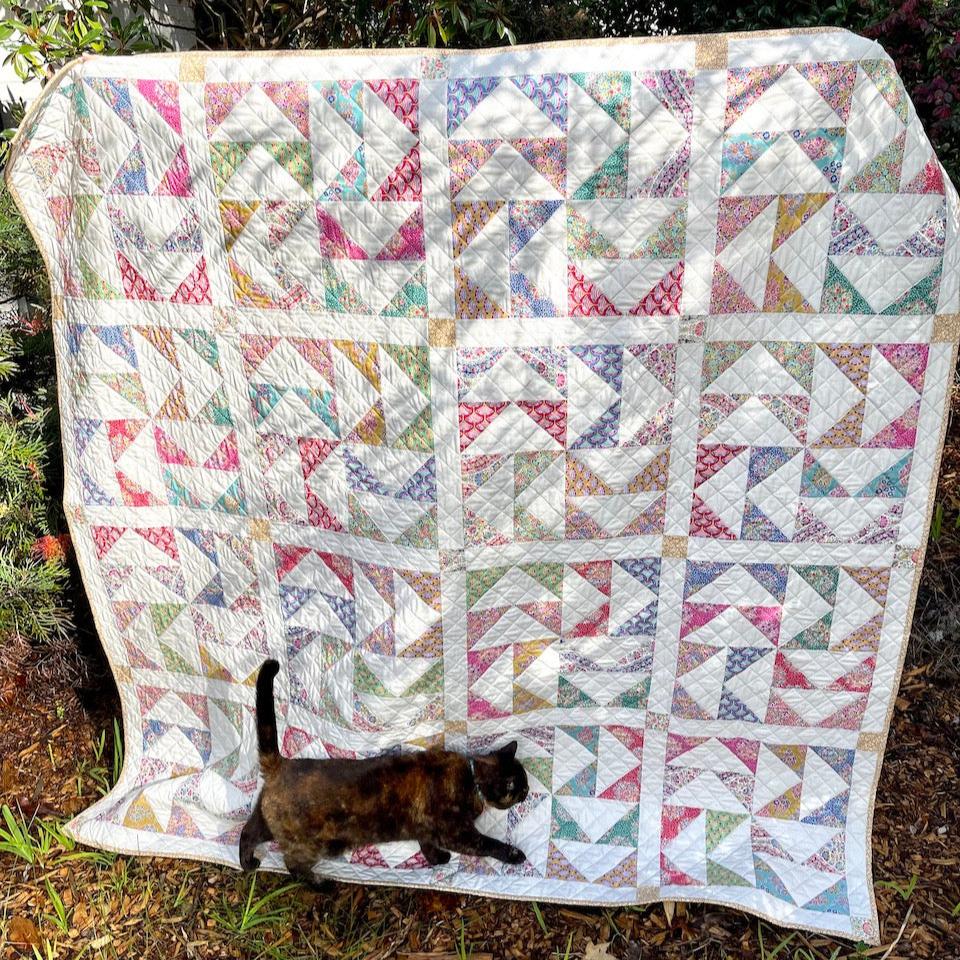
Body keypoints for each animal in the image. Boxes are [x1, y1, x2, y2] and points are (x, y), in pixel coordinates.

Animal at [237, 660, 528, 884]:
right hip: (313, 843)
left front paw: (437, 859)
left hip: (270, 822)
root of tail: (281, 764)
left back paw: (248, 862)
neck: (471, 777)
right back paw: (322, 885)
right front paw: (514, 855)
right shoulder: (457, 833)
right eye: (519, 787)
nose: (526, 793)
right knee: (293, 864)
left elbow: (426, 842)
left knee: (248, 832)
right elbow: (488, 844)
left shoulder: (427, 828)